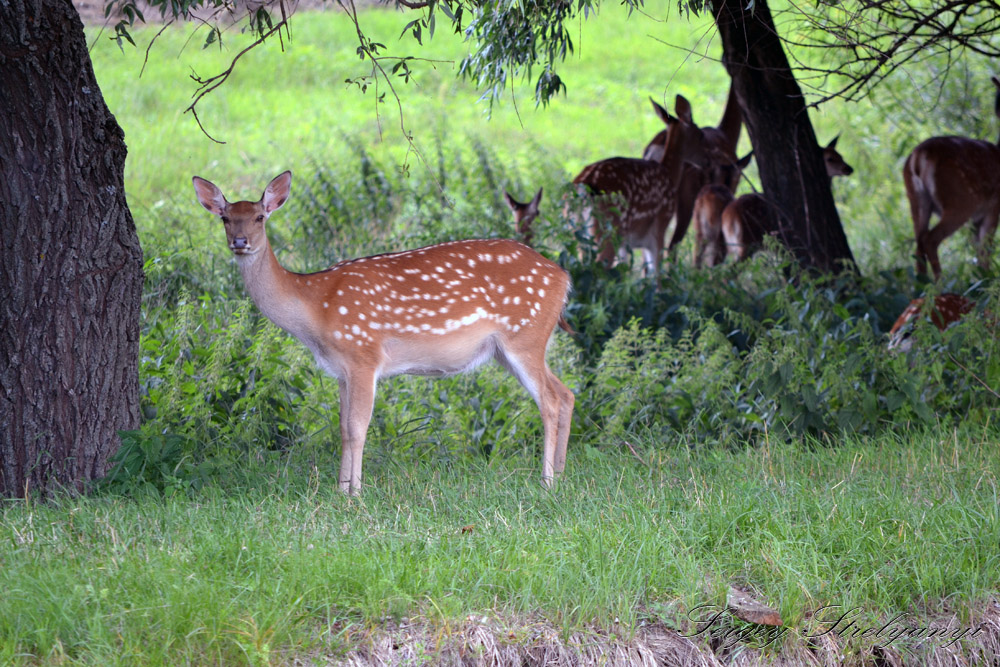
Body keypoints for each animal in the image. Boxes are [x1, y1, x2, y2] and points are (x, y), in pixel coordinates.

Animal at [193, 172, 580, 496]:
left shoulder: (364, 355)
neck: (315, 307)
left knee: (549, 400)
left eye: (260, 216)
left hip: (525, 336)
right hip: (512, 347)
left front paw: (355, 495)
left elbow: (357, 427)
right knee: (566, 393)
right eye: (225, 217)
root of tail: (563, 278)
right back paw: (561, 476)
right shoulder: (341, 370)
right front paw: (339, 491)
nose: (239, 241)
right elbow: (342, 429)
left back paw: (546, 481)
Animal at [572, 95, 712, 276]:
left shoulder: (627, 244)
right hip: (608, 231)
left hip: (575, 231)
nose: (707, 161)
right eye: (700, 134)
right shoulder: (659, 227)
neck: (669, 173)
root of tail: (582, 188)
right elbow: (655, 276)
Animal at [908, 75, 1000, 280]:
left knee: (918, 244)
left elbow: (978, 250)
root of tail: (918, 157)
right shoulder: (993, 207)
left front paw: (981, 279)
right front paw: (987, 281)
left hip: (916, 202)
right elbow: (985, 251)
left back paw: (922, 284)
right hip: (960, 201)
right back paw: (940, 282)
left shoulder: (977, 219)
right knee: (930, 239)